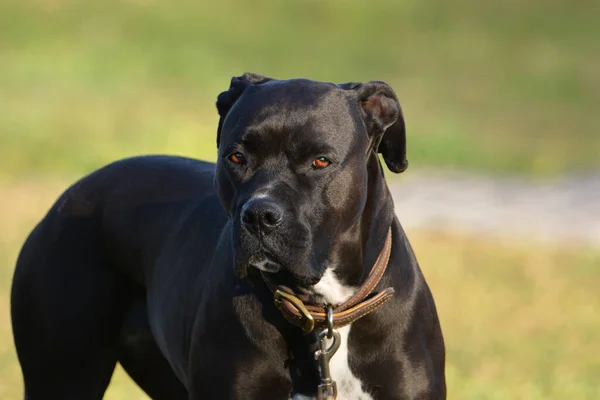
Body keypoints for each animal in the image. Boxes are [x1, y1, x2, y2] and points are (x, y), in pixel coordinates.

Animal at [10, 73, 446, 398]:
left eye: (321, 161)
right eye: (236, 157)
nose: (260, 215)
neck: (326, 307)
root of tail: (71, 195)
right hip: (62, 376)